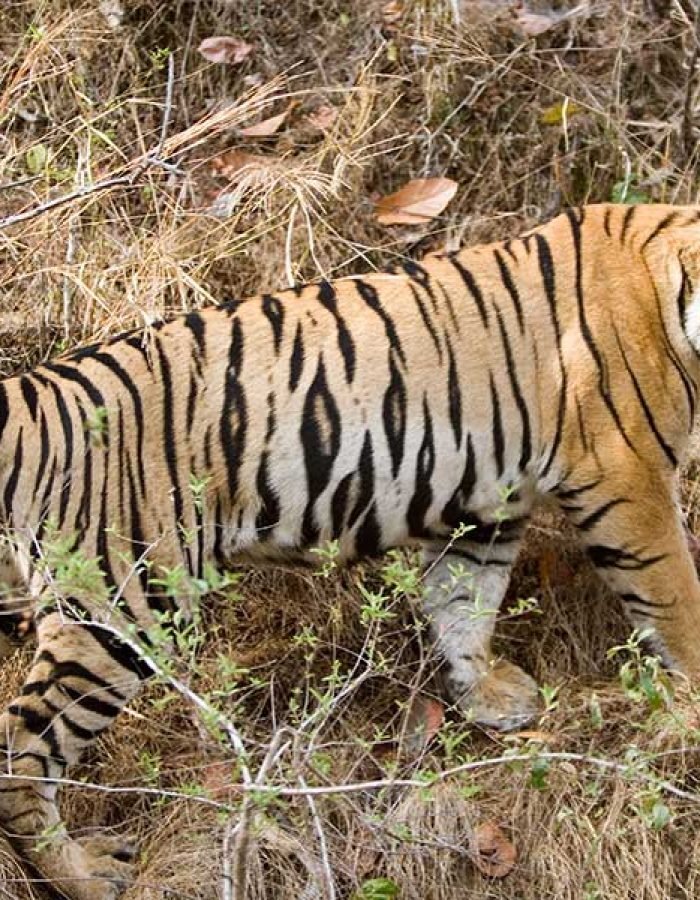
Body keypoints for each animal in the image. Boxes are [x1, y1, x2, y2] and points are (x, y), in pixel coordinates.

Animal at [1, 202, 700, 898]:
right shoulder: (628, 480)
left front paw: (488, 696)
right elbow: (676, 601)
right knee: (22, 748)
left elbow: (465, 603)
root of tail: (28, 396)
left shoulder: (486, 505)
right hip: (122, 608)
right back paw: (85, 874)